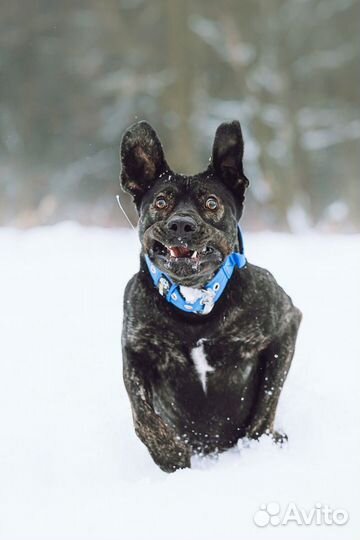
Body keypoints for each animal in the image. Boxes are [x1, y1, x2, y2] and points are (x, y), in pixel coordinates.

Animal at [119, 119, 302, 472]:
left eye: (212, 203)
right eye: (161, 202)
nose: (181, 224)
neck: (195, 302)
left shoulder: (286, 324)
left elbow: (268, 397)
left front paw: (255, 444)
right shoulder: (135, 349)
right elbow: (141, 414)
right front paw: (170, 454)